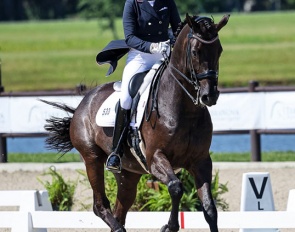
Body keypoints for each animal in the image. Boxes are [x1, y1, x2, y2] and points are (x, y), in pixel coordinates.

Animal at [42, 14, 230, 232]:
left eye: (219, 50)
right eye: (195, 52)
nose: (210, 96)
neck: (185, 110)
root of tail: (83, 102)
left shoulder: (200, 161)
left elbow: (209, 208)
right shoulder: (155, 158)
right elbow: (176, 187)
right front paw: (169, 226)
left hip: (128, 174)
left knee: (120, 206)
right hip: (92, 158)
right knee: (100, 205)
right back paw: (118, 228)